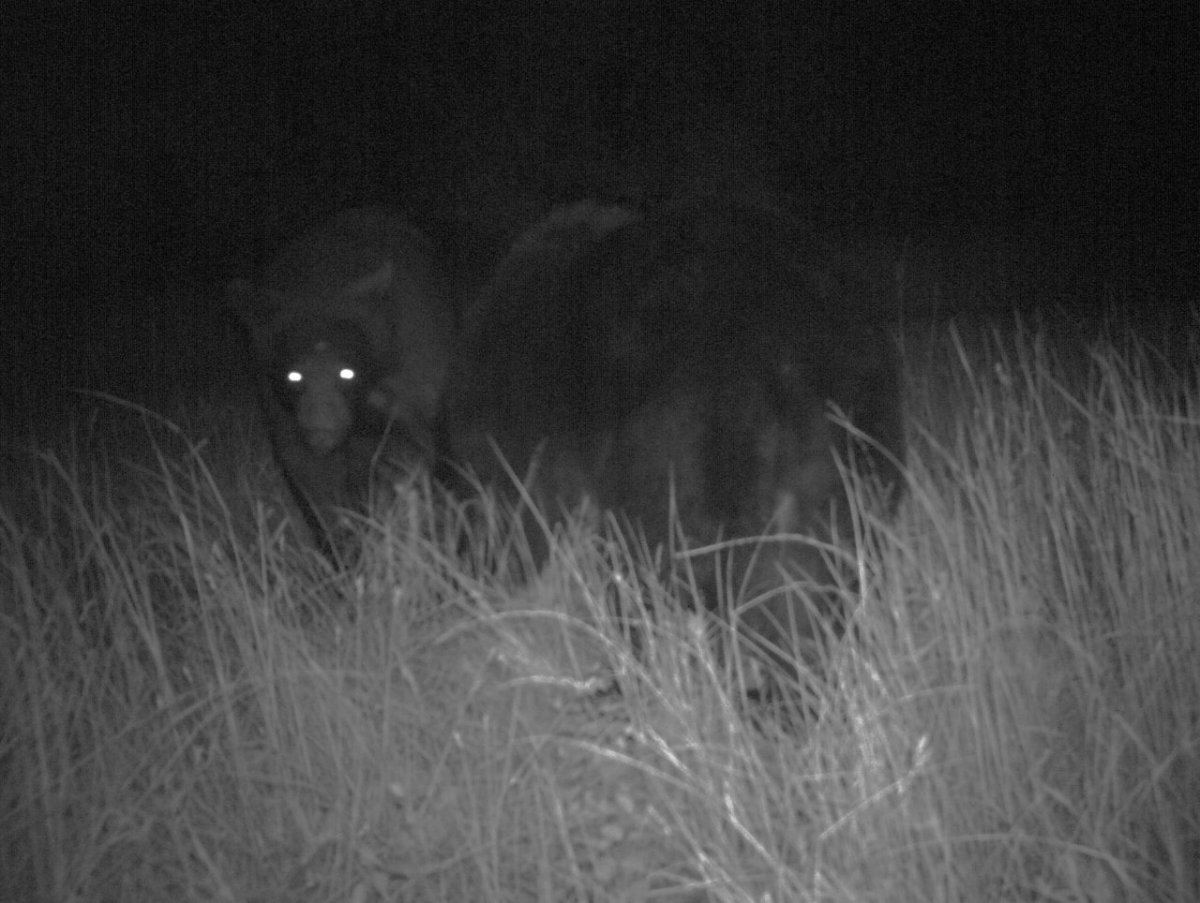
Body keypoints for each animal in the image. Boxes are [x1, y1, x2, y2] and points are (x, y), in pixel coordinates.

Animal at [227, 207, 457, 560]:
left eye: (346, 373)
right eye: (293, 376)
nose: (320, 425)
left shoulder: (413, 371)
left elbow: (417, 449)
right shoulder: (281, 410)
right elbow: (310, 479)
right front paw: (345, 553)